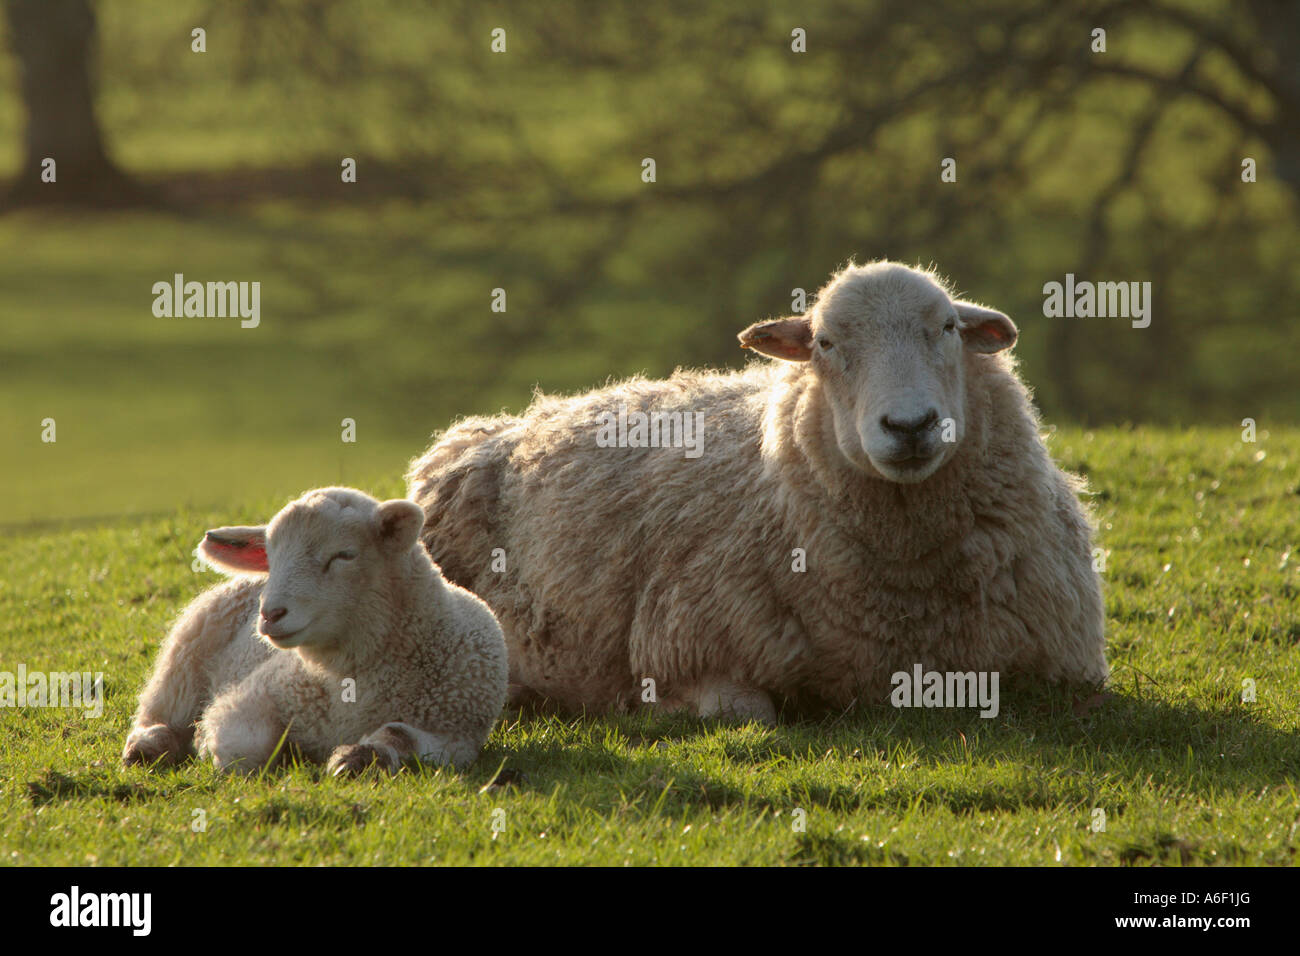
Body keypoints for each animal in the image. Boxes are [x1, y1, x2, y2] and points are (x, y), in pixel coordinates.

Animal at [122, 487, 508, 774]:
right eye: (271, 556)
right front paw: (208, 740)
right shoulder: (257, 692)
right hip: (187, 655)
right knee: (159, 710)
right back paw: (148, 745)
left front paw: (355, 759)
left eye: (344, 555)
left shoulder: (457, 733)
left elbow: (399, 734)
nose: (271, 613)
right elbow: (244, 744)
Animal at [407, 260, 1107, 723]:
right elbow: (745, 714)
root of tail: (514, 418)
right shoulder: (686, 648)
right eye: (825, 343)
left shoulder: (1069, 669)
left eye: (948, 329)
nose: (910, 426)